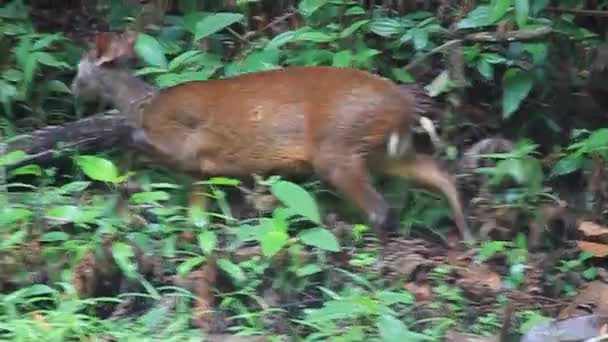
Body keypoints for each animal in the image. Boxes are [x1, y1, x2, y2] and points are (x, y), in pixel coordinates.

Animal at [70, 31, 470, 240]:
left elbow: (131, 142)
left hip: (338, 147)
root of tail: (403, 105)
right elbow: (198, 216)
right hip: (382, 152)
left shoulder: (183, 145)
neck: (143, 106)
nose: (72, 87)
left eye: (78, 70)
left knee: (380, 207)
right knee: (437, 173)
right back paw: (466, 234)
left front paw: (120, 198)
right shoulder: (202, 170)